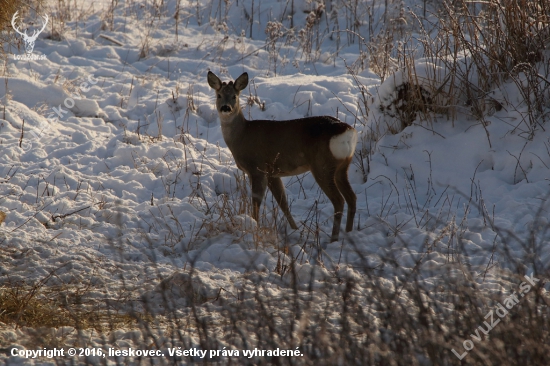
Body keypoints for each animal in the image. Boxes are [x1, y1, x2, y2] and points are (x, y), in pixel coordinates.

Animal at [208, 71, 358, 243]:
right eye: (219, 95)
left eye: (234, 96)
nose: (226, 108)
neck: (242, 135)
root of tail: (347, 132)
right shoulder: (273, 173)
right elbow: (283, 202)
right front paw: (295, 229)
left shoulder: (257, 168)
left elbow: (256, 202)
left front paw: (254, 227)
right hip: (342, 166)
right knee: (352, 197)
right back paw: (349, 233)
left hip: (323, 165)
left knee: (339, 200)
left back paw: (334, 239)